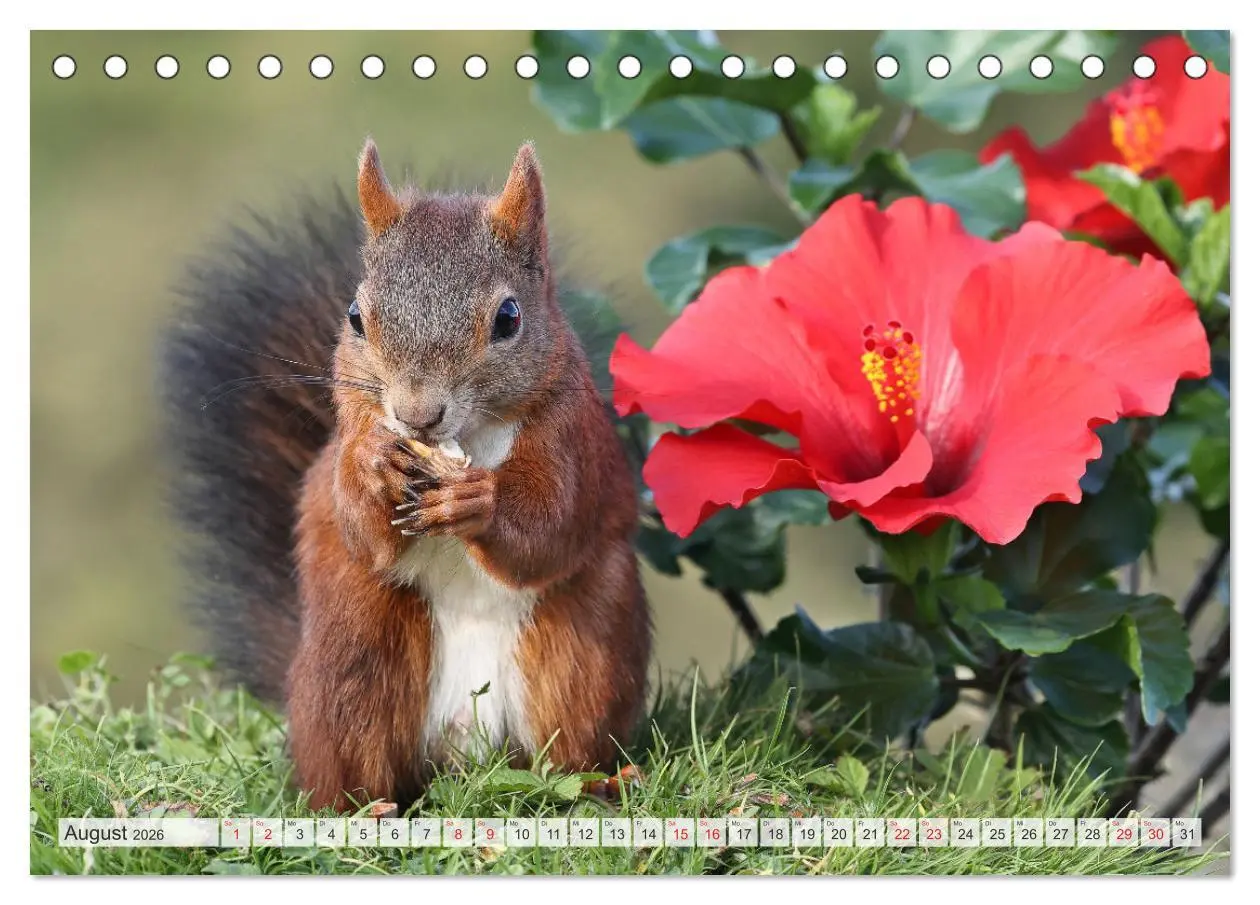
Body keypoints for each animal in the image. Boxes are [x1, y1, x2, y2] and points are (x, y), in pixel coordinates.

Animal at [161, 140, 651, 812]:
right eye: (354, 316)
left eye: (508, 317)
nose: (417, 414)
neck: (465, 438)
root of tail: (466, 759)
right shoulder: (347, 438)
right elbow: (357, 523)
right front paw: (375, 469)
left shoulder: (574, 441)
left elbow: (551, 526)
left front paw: (480, 500)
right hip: (355, 647)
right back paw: (363, 807)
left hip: (585, 646)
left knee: (567, 745)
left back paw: (601, 781)